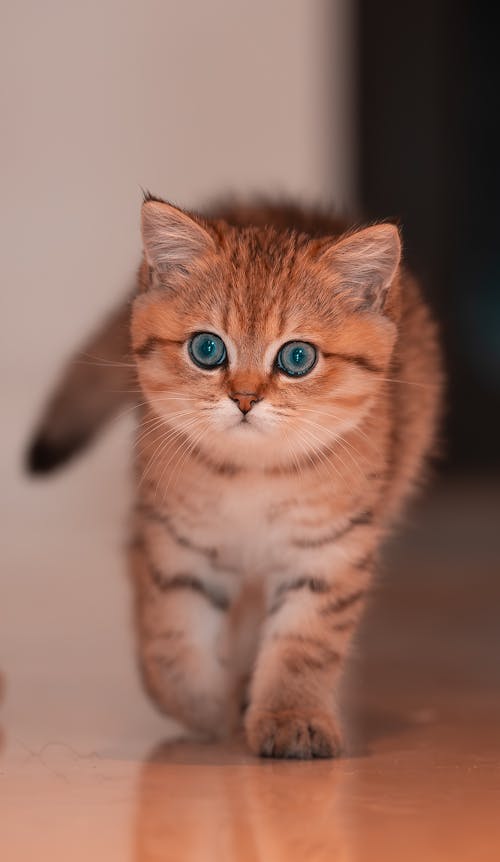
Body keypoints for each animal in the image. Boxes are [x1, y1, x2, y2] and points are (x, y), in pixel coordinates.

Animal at [28, 197, 442, 764]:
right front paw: (203, 710)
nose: (244, 398)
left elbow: (305, 643)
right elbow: (170, 641)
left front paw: (291, 714)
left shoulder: (332, 548)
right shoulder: (172, 542)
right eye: (207, 350)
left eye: (297, 357)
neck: (253, 475)